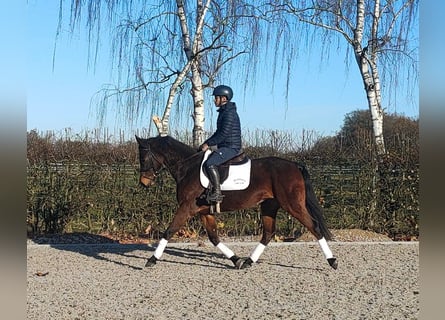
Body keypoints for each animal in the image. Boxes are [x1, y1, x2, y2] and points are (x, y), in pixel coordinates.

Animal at [135, 135, 336, 270]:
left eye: (143, 157)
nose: (144, 183)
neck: (188, 167)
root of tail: (295, 165)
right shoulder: (204, 211)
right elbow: (214, 238)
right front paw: (236, 259)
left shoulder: (187, 207)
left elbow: (169, 231)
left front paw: (152, 259)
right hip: (269, 205)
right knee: (268, 233)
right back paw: (248, 261)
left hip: (292, 205)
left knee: (314, 226)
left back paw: (332, 261)